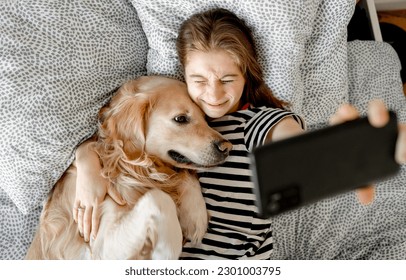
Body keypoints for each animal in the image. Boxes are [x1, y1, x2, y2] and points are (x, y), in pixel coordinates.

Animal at [26, 75, 232, 260]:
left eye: (205, 118)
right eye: (181, 119)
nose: (227, 147)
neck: (128, 168)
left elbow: (184, 174)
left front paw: (195, 215)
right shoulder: (99, 248)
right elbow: (159, 197)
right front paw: (166, 250)